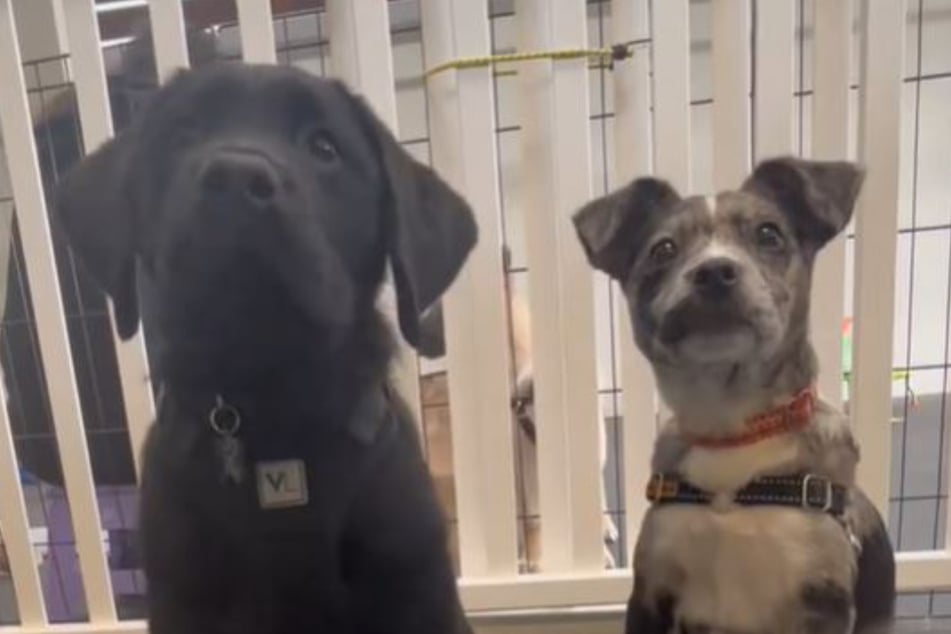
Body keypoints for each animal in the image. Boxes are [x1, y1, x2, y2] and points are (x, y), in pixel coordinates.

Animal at [576, 156, 896, 628]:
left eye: (769, 234)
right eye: (663, 249)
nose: (713, 272)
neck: (732, 424)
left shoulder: (824, 601)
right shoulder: (651, 593)